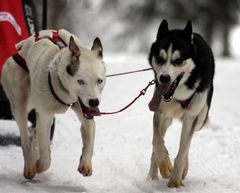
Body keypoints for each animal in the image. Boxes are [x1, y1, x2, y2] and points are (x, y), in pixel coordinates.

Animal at [0, 29, 106, 180]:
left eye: (99, 81)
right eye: (80, 81)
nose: (94, 102)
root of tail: (20, 47)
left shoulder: (86, 116)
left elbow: (89, 141)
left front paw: (85, 163)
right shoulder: (45, 116)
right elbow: (45, 154)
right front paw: (40, 165)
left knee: (35, 135)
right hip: (19, 105)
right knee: (26, 140)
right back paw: (30, 167)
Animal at [147, 20, 215, 188]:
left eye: (179, 61)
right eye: (159, 58)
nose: (164, 78)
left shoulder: (191, 117)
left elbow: (183, 150)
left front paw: (175, 181)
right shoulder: (160, 112)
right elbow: (157, 141)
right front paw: (165, 165)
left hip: (201, 116)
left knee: (187, 145)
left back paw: (183, 168)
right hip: (167, 119)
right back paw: (152, 176)